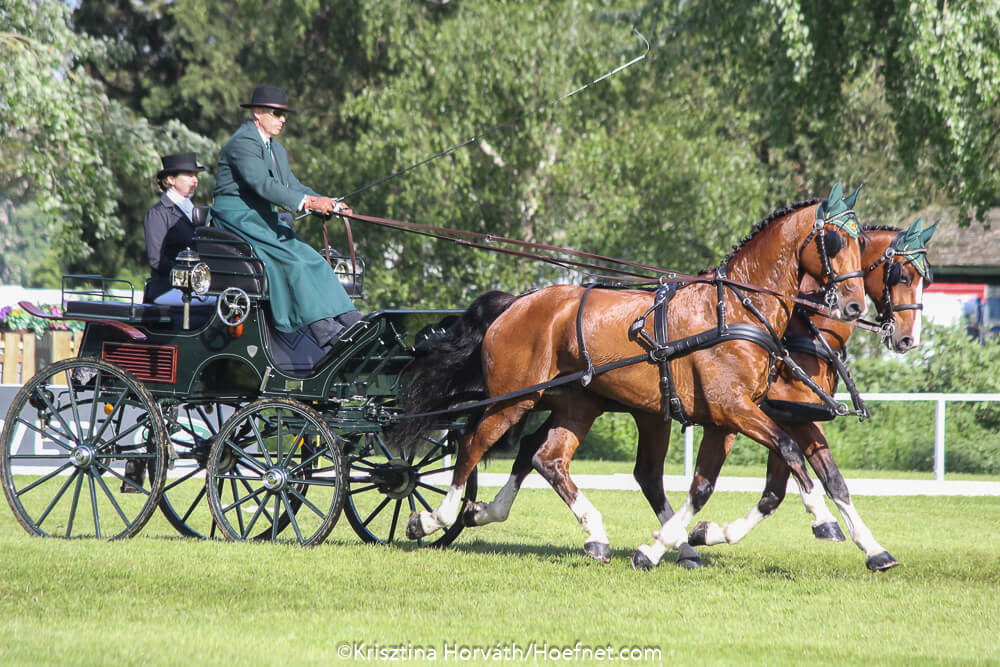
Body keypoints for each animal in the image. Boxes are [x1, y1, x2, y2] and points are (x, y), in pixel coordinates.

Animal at [398, 184, 868, 568]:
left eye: (862, 243)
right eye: (833, 240)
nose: (855, 306)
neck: (734, 309)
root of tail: (516, 303)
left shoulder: (729, 418)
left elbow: (716, 484)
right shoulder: (733, 409)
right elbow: (789, 452)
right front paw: (823, 521)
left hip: (579, 405)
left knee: (548, 458)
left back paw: (594, 536)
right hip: (514, 399)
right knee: (473, 444)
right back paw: (435, 518)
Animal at [688, 218, 937, 570]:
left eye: (926, 279)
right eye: (902, 276)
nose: (908, 339)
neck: (805, 331)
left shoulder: (796, 418)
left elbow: (804, 486)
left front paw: (873, 549)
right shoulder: (791, 417)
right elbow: (791, 481)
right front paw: (824, 521)